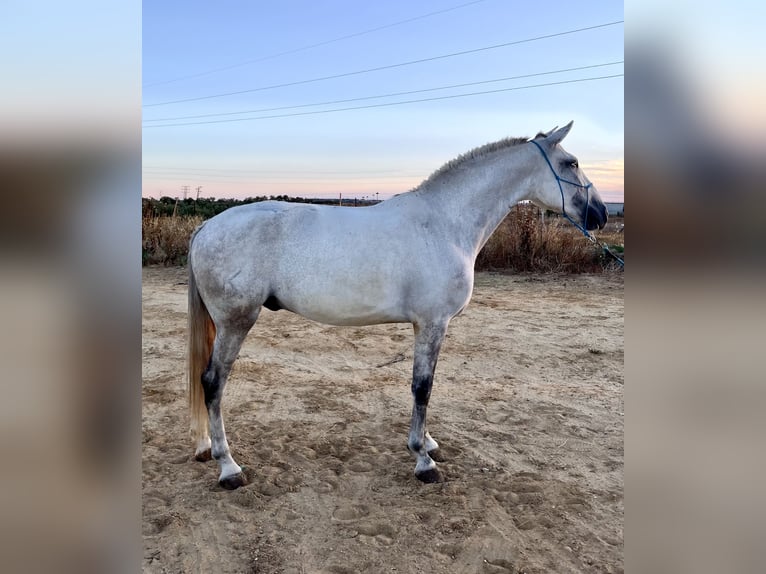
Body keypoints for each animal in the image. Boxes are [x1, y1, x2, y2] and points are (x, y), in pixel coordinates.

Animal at [186, 121, 608, 490]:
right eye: (571, 163)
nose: (601, 214)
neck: (444, 224)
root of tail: (207, 227)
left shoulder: (429, 325)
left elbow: (425, 385)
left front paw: (429, 442)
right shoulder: (433, 323)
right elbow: (423, 386)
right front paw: (423, 459)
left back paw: (207, 449)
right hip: (236, 322)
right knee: (213, 382)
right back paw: (229, 467)